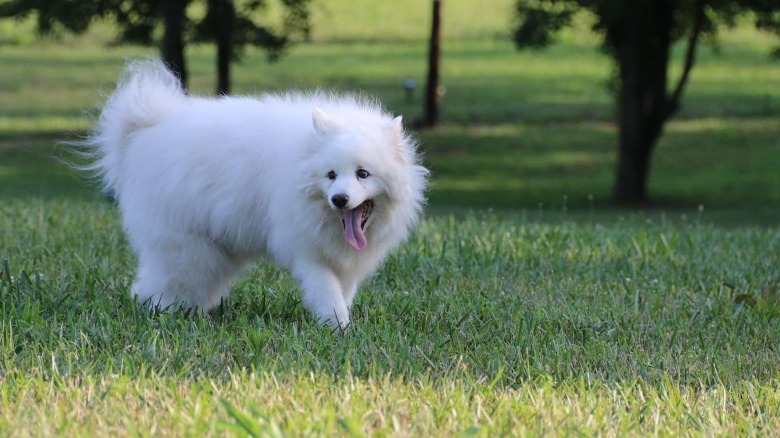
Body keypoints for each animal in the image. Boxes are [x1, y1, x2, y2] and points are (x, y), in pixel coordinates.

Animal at [82, 60, 430, 328]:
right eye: (331, 175)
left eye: (363, 174)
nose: (340, 199)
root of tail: (145, 131)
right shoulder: (306, 252)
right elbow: (327, 294)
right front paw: (339, 327)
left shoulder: (341, 260)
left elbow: (344, 292)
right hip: (188, 250)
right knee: (162, 284)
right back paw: (163, 313)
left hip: (214, 252)